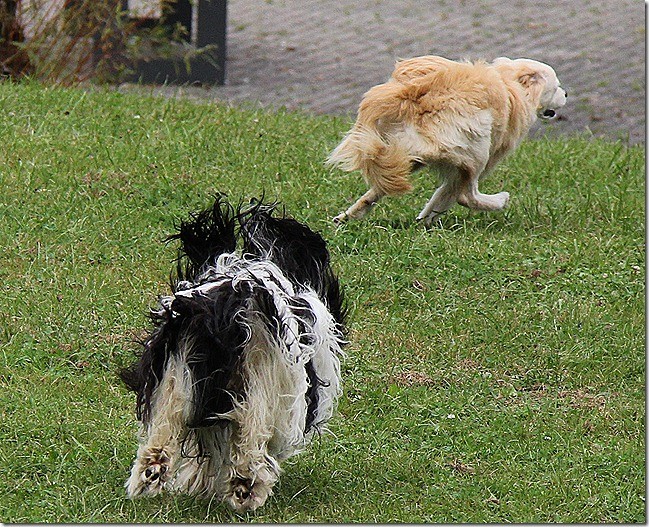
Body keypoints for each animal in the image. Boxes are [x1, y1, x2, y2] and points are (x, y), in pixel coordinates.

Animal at [119, 197, 346, 512]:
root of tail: (234, 295)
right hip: (261, 380)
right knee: (250, 438)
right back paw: (246, 488)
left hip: (176, 373)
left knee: (163, 430)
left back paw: (150, 473)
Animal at [326, 55, 564, 225]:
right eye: (556, 87)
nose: (567, 94)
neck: (510, 83)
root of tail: (413, 94)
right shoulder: (482, 159)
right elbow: (451, 193)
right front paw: (429, 219)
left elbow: (441, 195)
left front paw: (426, 220)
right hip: (478, 147)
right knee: (467, 196)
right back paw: (498, 200)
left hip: (405, 153)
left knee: (381, 181)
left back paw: (347, 216)